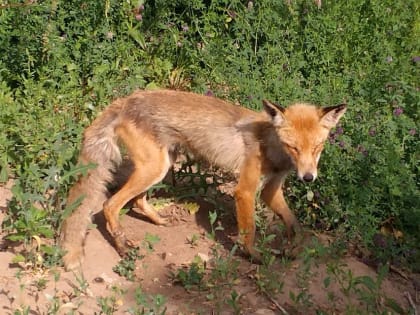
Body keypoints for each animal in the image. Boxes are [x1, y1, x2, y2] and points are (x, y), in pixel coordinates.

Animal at [60, 89, 348, 272]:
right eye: (294, 148)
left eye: (318, 147)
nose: (308, 178)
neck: (271, 146)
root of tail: (126, 99)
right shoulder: (245, 190)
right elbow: (250, 229)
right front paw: (253, 255)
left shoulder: (271, 190)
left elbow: (296, 226)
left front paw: (293, 248)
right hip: (153, 168)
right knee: (109, 206)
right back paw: (122, 246)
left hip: (160, 166)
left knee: (137, 201)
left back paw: (159, 220)